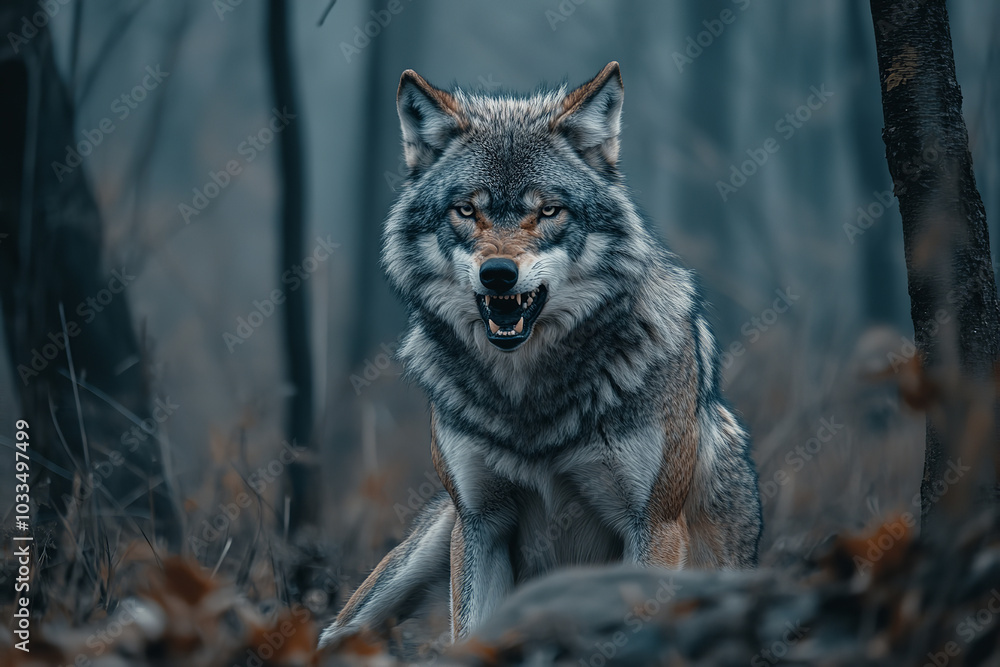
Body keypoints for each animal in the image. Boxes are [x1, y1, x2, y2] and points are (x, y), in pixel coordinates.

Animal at [320, 62, 761, 648]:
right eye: (467, 210)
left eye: (548, 210)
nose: (497, 274)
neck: (529, 393)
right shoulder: (481, 523)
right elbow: (468, 636)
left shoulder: (655, 526)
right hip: (408, 568)